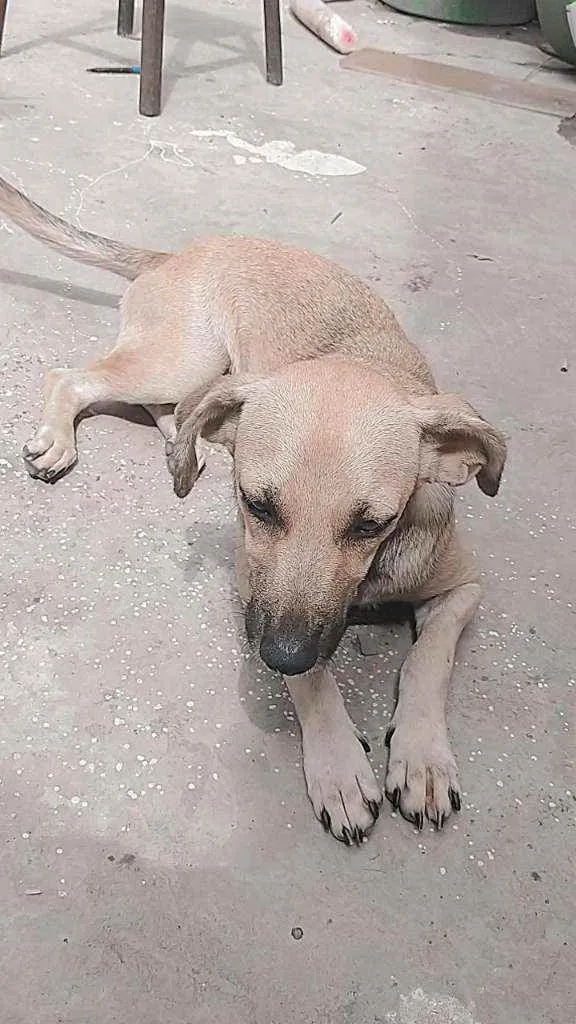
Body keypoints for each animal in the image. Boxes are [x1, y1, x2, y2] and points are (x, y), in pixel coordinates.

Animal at [0, 176, 504, 843]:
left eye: (373, 525)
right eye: (255, 506)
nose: (280, 655)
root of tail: (176, 253)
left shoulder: (464, 589)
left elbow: (431, 659)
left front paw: (421, 757)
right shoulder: (252, 583)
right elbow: (314, 681)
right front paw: (339, 767)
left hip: (199, 371)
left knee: (185, 406)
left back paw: (182, 443)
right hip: (180, 356)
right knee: (74, 377)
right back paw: (65, 439)